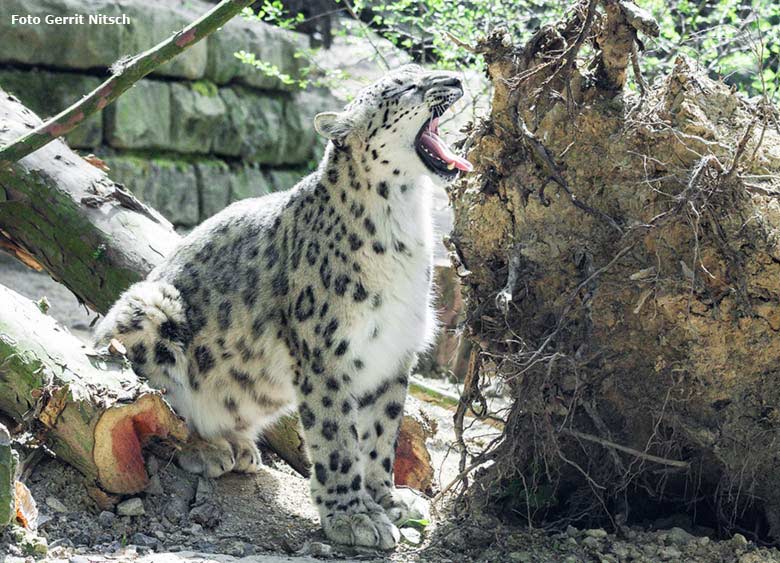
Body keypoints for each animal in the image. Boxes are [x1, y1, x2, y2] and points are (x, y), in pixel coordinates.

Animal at [94, 64, 472, 548]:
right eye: (406, 86)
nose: (457, 78)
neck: (405, 221)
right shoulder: (327, 355)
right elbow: (337, 438)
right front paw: (353, 516)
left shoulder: (392, 353)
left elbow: (381, 434)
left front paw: (387, 500)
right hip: (152, 308)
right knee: (156, 408)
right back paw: (207, 448)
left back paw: (239, 446)